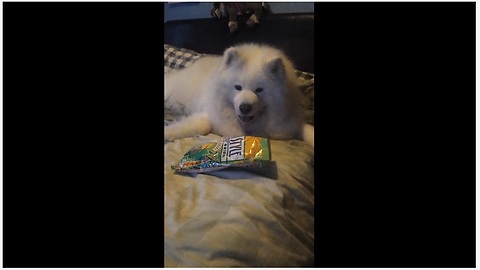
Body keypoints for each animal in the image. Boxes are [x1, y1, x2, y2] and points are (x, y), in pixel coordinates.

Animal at [164, 43, 316, 147]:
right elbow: (196, 126)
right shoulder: (211, 115)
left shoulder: (290, 123)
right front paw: (168, 132)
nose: (245, 108)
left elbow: (306, 129)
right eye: (238, 87)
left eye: (259, 90)